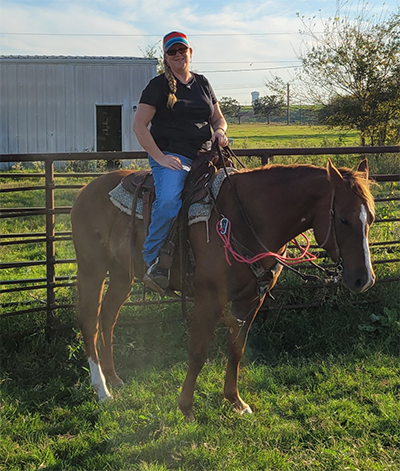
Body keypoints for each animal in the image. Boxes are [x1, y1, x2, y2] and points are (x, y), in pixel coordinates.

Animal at [70, 159, 374, 420]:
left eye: (370, 219)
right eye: (343, 219)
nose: (364, 279)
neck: (246, 218)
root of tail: (85, 191)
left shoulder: (251, 299)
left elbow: (237, 348)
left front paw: (235, 401)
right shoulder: (209, 299)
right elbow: (198, 352)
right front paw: (186, 407)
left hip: (122, 273)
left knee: (108, 318)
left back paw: (114, 378)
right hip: (92, 269)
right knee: (89, 321)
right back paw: (102, 389)